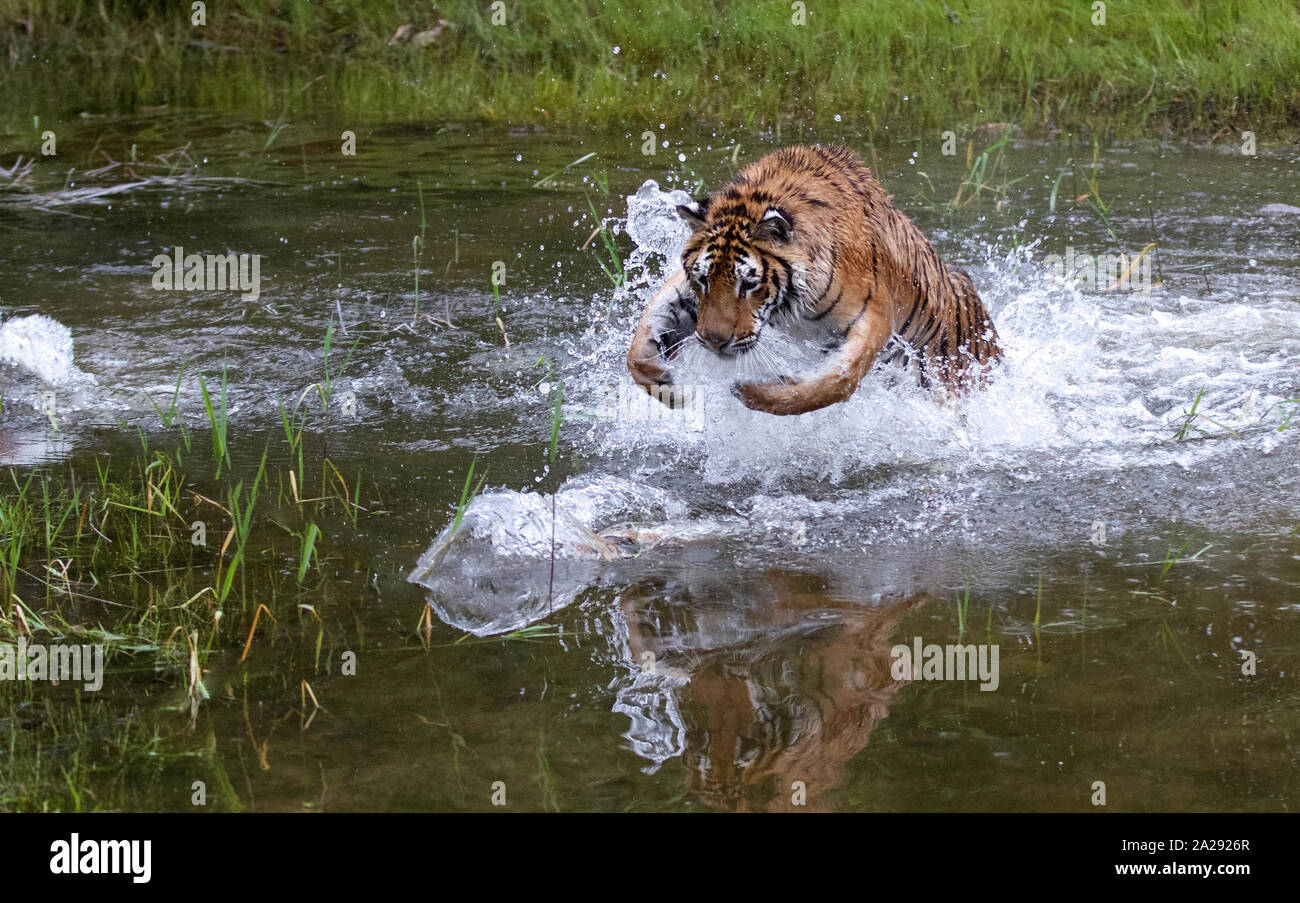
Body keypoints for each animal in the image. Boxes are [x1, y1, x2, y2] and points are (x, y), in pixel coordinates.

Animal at [624, 144, 998, 415]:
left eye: (748, 284)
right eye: (703, 280)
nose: (715, 343)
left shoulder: (873, 318)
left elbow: (831, 385)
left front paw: (752, 392)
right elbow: (643, 335)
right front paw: (665, 383)